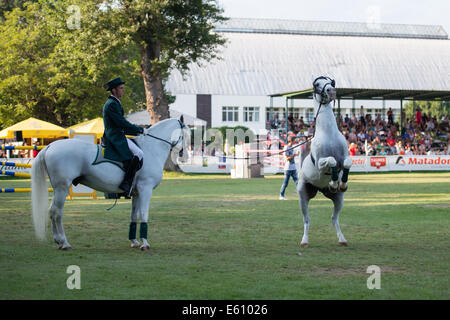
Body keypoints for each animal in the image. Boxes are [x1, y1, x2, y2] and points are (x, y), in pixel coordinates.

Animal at [31, 117, 186, 250]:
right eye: (185, 135)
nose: (183, 156)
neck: (151, 149)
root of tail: (50, 146)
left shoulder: (136, 193)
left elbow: (134, 215)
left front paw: (134, 241)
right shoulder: (145, 190)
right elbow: (143, 214)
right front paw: (145, 244)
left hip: (58, 188)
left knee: (51, 211)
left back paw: (58, 240)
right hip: (62, 188)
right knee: (57, 212)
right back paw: (64, 242)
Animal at [298, 77, 352, 248]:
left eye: (331, 81)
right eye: (317, 84)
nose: (331, 91)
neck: (329, 134)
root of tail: (319, 190)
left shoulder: (346, 157)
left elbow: (346, 164)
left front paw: (341, 184)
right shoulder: (320, 165)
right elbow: (331, 161)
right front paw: (334, 182)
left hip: (339, 199)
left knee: (334, 219)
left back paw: (342, 239)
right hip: (303, 195)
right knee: (306, 220)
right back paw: (304, 241)